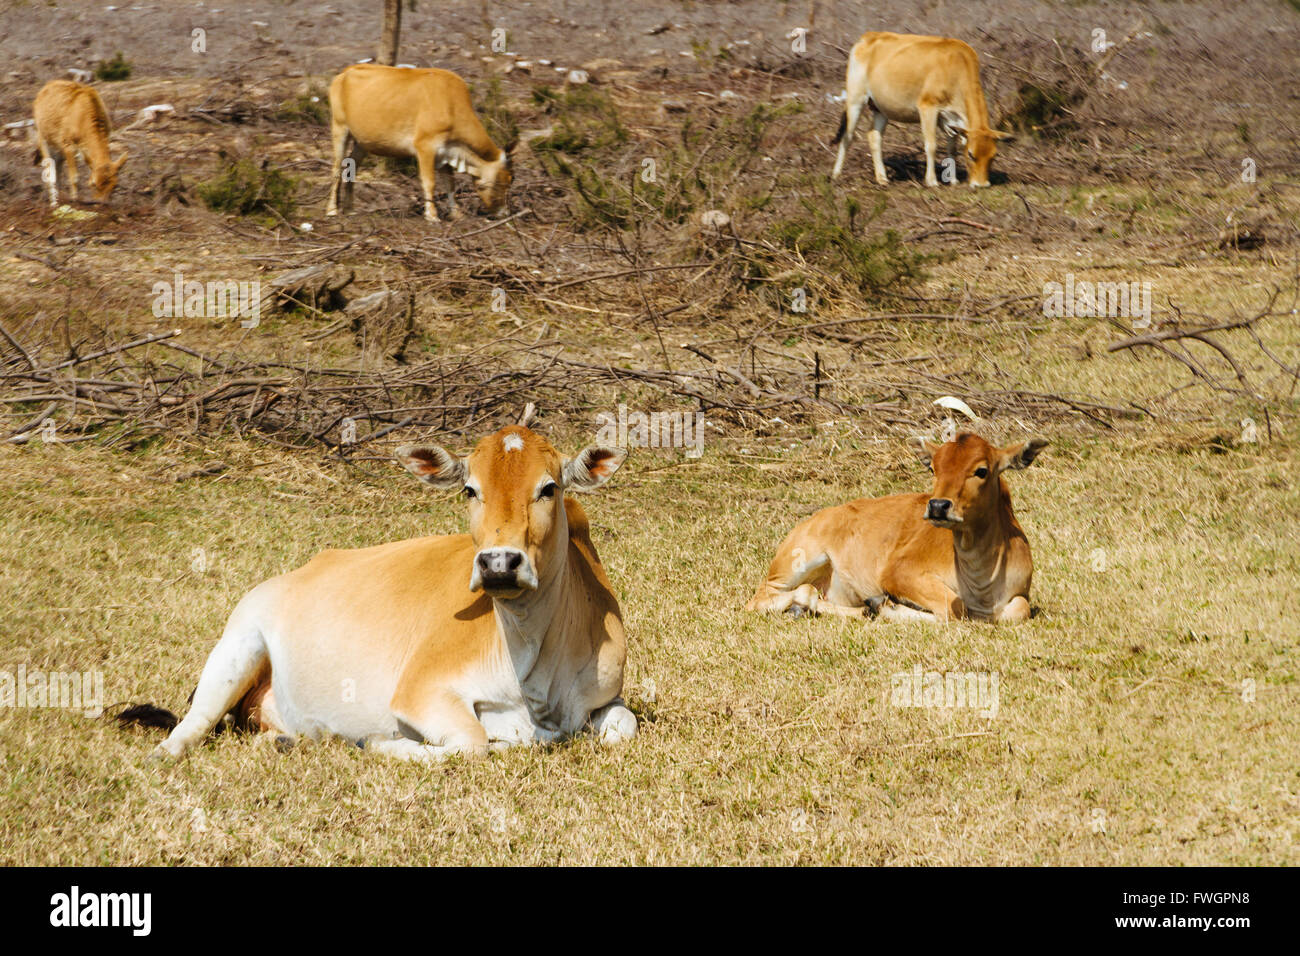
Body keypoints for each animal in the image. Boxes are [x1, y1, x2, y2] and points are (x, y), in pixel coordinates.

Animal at [149, 426, 637, 764]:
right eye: (469, 489)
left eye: (549, 488)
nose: (499, 563)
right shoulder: (420, 691)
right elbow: (475, 742)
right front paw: (381, 742)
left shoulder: (606, 699)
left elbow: (623, 726)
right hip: (238, 645)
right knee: (193, 724)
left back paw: (286, 740)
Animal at [325, 62, 512, 223]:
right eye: (499, 183)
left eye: (509, 180)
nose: (504, 213)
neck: (451, 105)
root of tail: (345, 72)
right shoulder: (425, 146)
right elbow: (429, 182)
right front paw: (432, 215)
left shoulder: (446, 151)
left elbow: (450, 183)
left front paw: (456, 214)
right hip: (339, 127)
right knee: (336, 168)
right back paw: (332, 210)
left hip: (363, 141)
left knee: (352, 165)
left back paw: (349, 209)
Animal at [754, 431, 1045, 621]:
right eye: (934, 469)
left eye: (981, 470)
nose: (938, 506)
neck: (980, 582)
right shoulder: (899, 573)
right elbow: (954, 609)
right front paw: (886, 605)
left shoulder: (1020, 596)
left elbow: (1019, 610)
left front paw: (878, 606)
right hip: (796, 565)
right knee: (762, 598)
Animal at [832, 30, 1013, 187]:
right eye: (971, 154)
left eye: (993, 156)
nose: (981, 185)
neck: (956, 64)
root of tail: (868, 37)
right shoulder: (928, 107)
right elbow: (931, 145)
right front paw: (932, 181)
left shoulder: (952, 120)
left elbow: (952, 148)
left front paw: (953, 180)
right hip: (855, 99)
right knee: (847, 135)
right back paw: (836, 174)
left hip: (880, 108)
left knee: (874, 136)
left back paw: (882, 178)